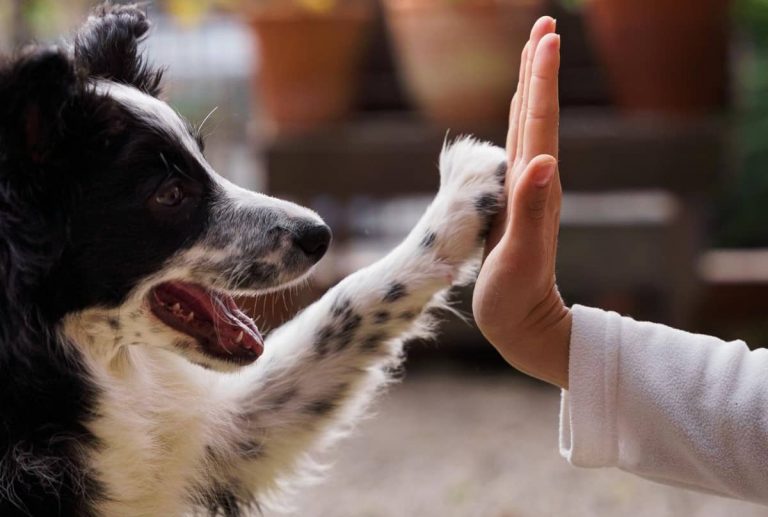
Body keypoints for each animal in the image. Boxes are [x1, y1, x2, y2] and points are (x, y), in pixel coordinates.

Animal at [0, 5, 510, 516]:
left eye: (205, 159)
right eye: (170, 194)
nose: (320, 235)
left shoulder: (213, 433)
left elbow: (342, 308)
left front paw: (467, 193)